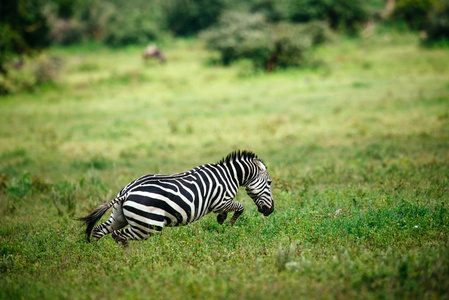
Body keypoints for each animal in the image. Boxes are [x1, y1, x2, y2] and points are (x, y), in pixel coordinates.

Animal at [76, 150, 272, 246]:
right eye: (270, 183)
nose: (270, 211)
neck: (231, 175)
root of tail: (127, 192)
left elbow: (237, 207)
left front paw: (223, 219)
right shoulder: (220, 200)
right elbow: (240, 207)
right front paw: (226, 221)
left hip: (120, 217)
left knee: (100, 230)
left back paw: (97, 253)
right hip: (148, 225)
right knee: (118, 236)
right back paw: (129, 258)